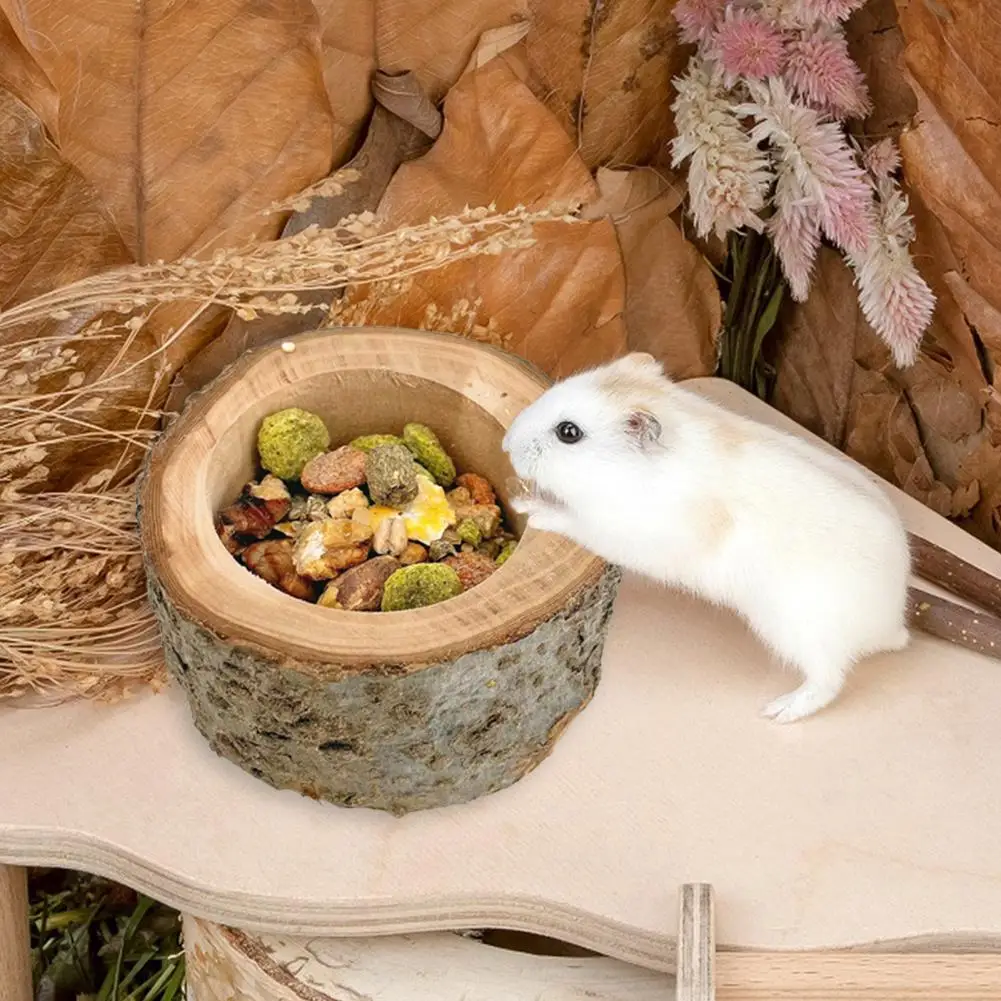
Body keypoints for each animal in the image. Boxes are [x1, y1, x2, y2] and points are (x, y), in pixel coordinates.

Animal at [502, 352, 911, 723]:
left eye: (568, 433)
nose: (506, 444)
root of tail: (891, 622)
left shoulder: (621, 532)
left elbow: (572, 522)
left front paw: (527, 506)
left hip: (800, 631)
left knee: (828, 682)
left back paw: (777, 712)